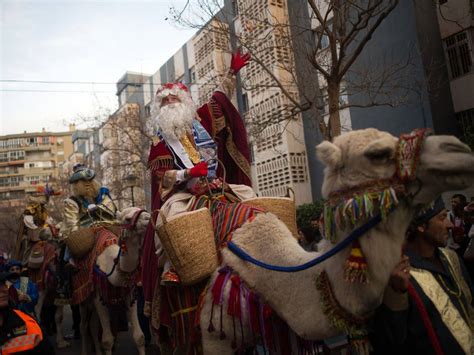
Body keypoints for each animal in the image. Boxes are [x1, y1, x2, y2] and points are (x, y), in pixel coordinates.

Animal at [76, 207, 150, 355]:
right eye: (127, 218)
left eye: (140, 209)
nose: (148, 217)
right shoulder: (99, 296)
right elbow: (107, 340)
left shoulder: (130, 294)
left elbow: (139, 337)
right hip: (83, 299)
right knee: (83, 326)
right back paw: (84, 351)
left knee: (92, 325)